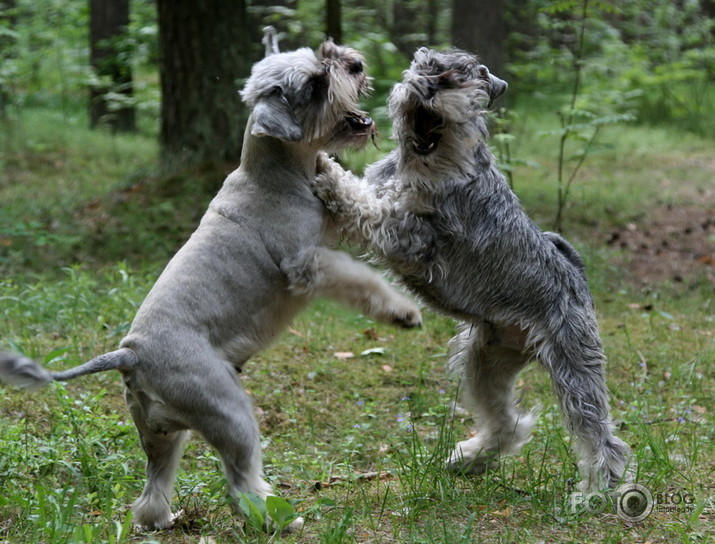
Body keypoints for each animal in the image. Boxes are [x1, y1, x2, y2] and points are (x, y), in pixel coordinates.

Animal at [0, 39, 420, 532]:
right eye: (317, 83)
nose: (354, 63)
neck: (274, 173)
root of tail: (131, 354)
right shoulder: (309, 264)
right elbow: (360, 280)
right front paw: (403, 311)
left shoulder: (331, 228)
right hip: (230, 413)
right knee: (240, 483)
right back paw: (278, 518)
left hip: (162, 437)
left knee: (152, 487)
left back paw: (163, 519)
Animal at [314, 47, 628, 492]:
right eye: (425, 70)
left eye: (457, 80)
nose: (427, 90)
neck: (427, 164)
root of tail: (576, 278)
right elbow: (366, 197)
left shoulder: (412, 238)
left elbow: (368, 207)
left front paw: (328, 174)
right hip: (484, 364)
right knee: (508, 422)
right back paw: (469, 459)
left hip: (573, 367)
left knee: (601, 437)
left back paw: (596, 491)